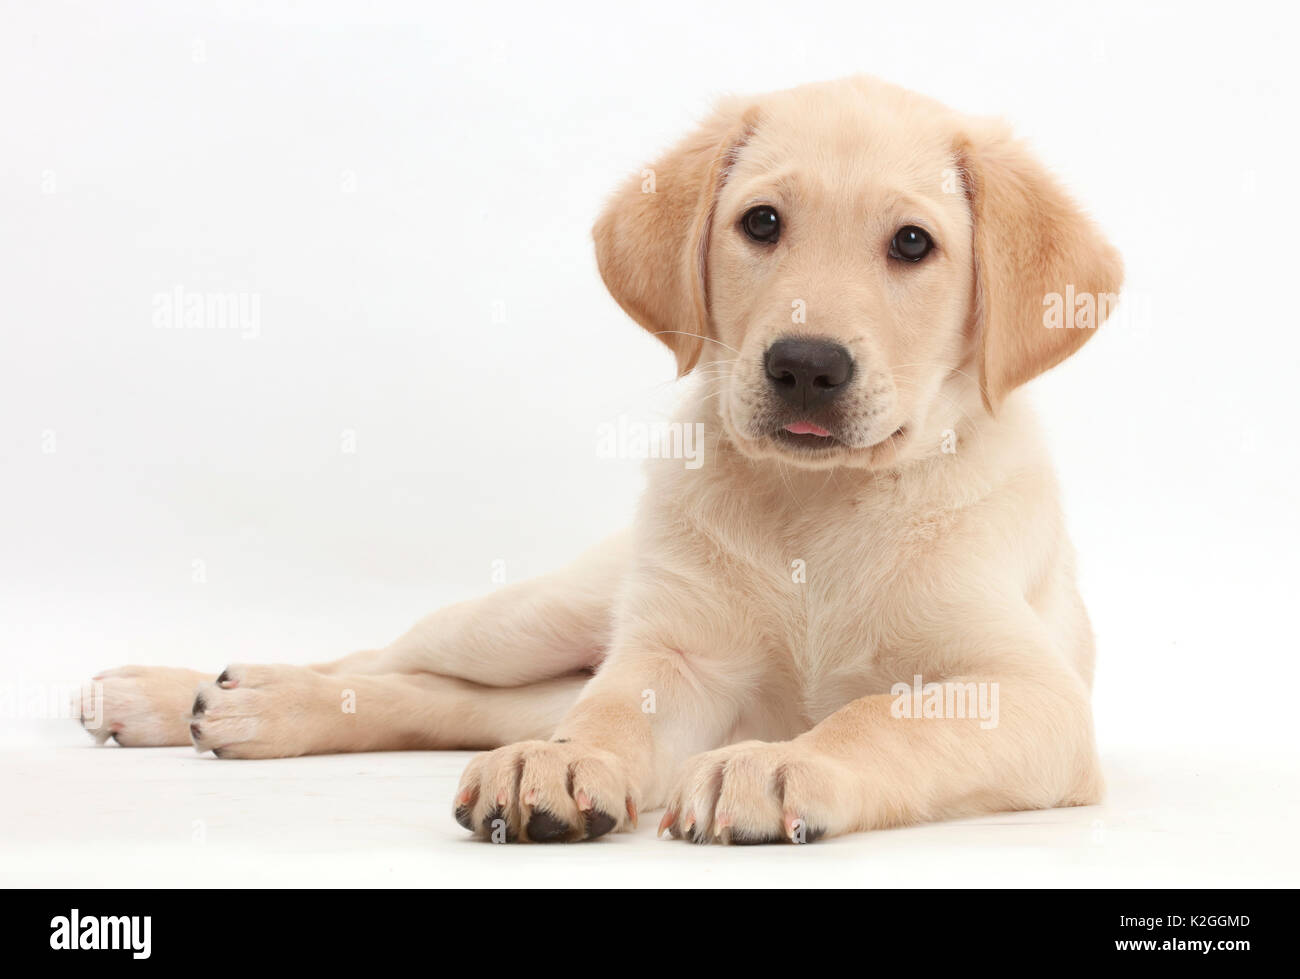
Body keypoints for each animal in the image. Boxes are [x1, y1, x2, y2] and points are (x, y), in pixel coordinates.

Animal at [81, 76, 1123, 842]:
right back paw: (196, 693)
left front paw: (782, 758)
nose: (805, 364)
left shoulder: (1029, 694)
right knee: (396, 660)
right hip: (539, 614)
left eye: (913, 243)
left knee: (451, 702)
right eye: (761, 223)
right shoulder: (674, 651)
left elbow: (878, 716)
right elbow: (613, 712)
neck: (818, 505)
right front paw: (565, 760)